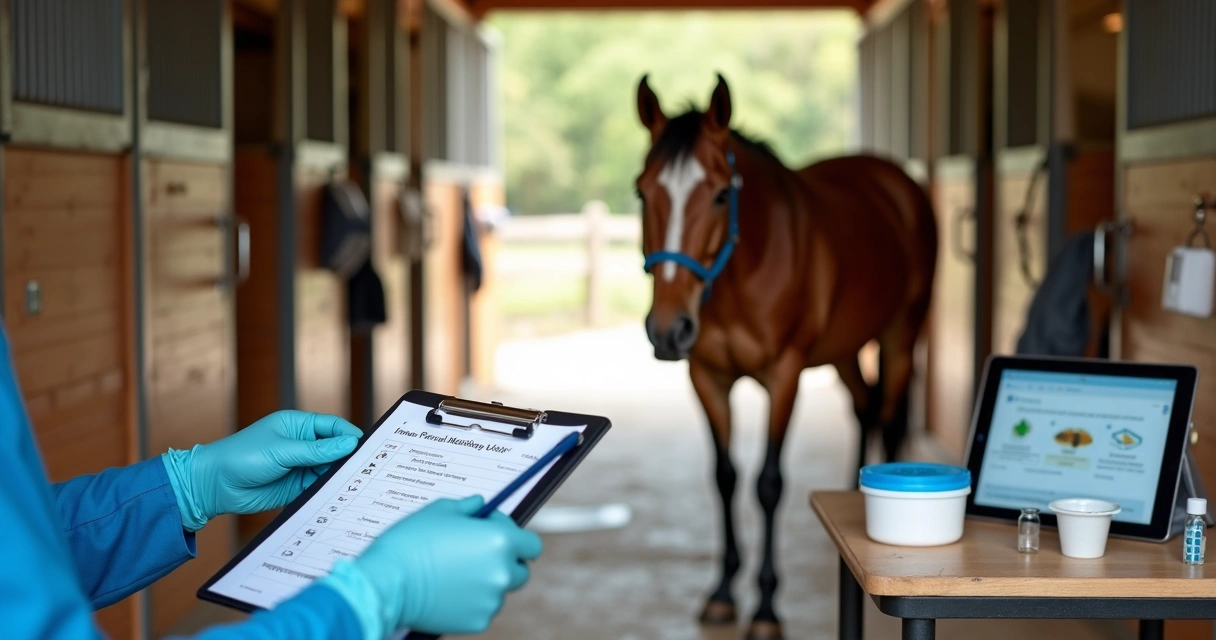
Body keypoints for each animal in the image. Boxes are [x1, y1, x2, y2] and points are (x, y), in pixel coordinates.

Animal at [634, 74, 937, 640]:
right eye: (641, 191)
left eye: (721, 194)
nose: (667, 329)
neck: (745, 269)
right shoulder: (707, 377)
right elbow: (725, 477)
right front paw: (723, 594)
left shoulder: (785, 376)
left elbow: (768, 484)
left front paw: (766, 608)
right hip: (843, 351)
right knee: (864, 407)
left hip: (900, 334)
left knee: (888, 415)